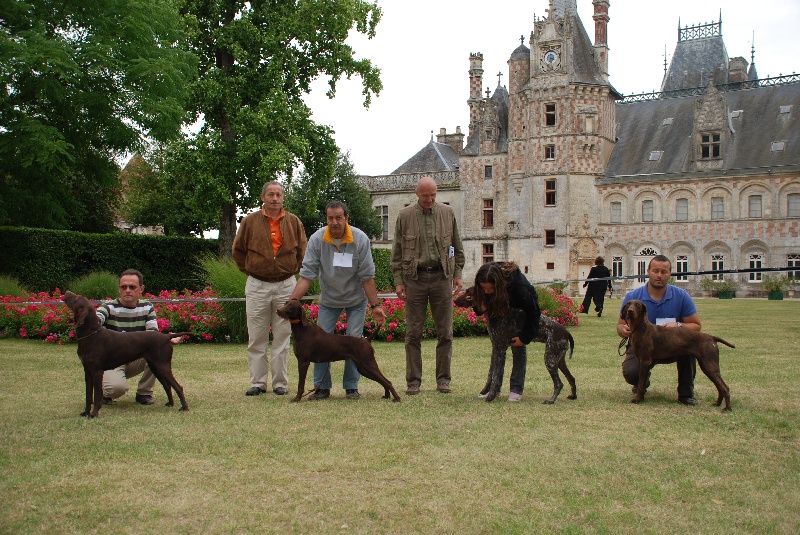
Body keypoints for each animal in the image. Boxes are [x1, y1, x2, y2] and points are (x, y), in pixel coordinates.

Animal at [276, 302, 404, 402]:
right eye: (285, 303)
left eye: (291, 306)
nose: (278, 310)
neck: (302, 331)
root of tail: (367, 340)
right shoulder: (302, 361)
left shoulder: (303, 362)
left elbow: (300, 384)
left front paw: (297, 399)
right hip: (363, 368)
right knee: (385, 381)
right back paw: (387, 396)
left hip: (368, 364)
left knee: (387, 381)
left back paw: (397, 398)